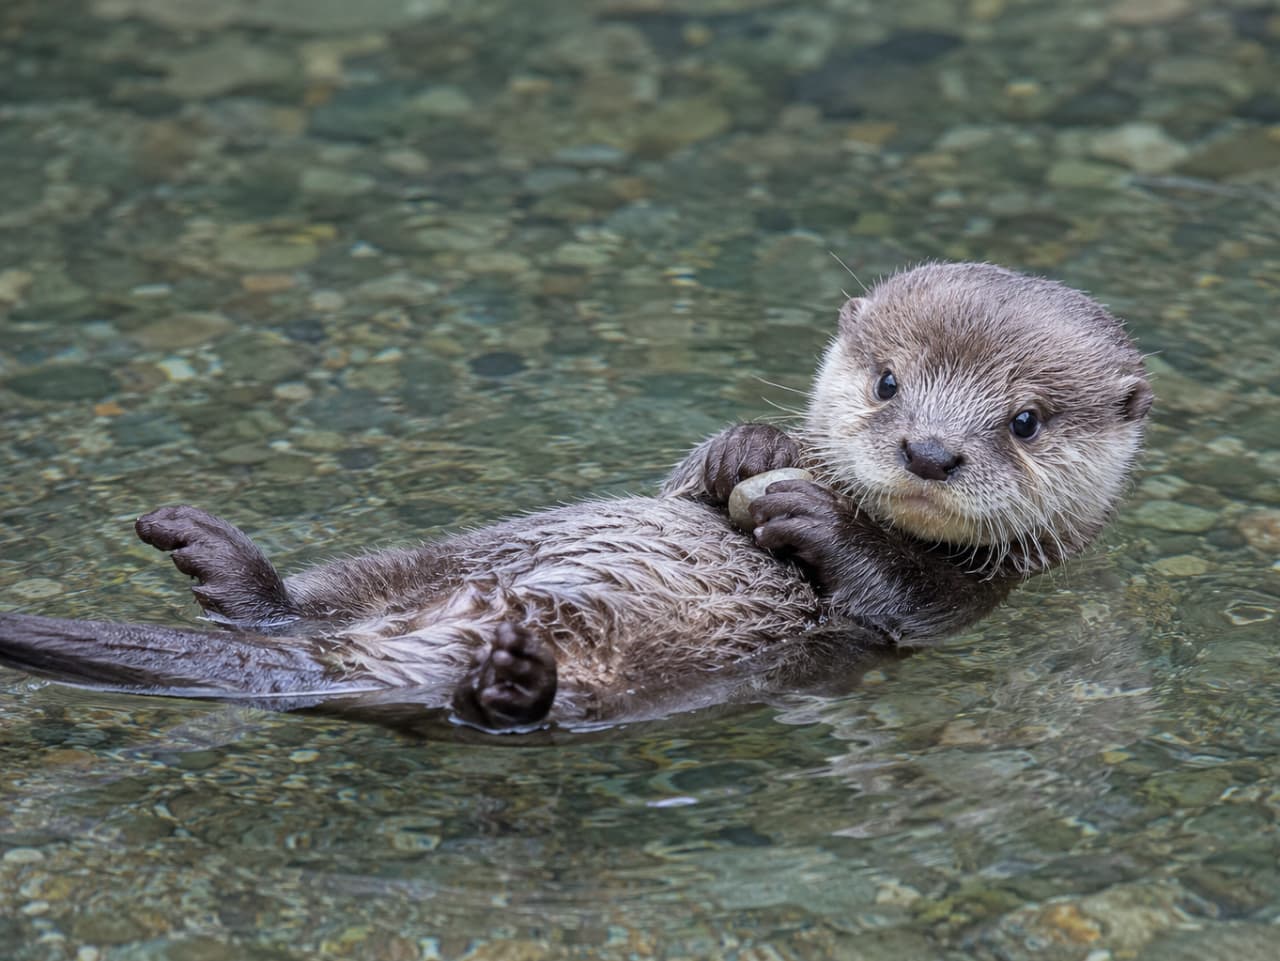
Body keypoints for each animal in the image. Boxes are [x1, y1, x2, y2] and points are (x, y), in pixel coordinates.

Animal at [0, 263, 1153, 732]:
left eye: (1023, 421)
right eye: (885, 382)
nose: (928, 448)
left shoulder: (962, 602)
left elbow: (892, 600)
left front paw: (809, 517)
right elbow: (680, 483)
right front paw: (748, 450)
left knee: (479, 716)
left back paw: (512, 681)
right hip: (413, 561)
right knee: (301, 596)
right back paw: (216, 558)